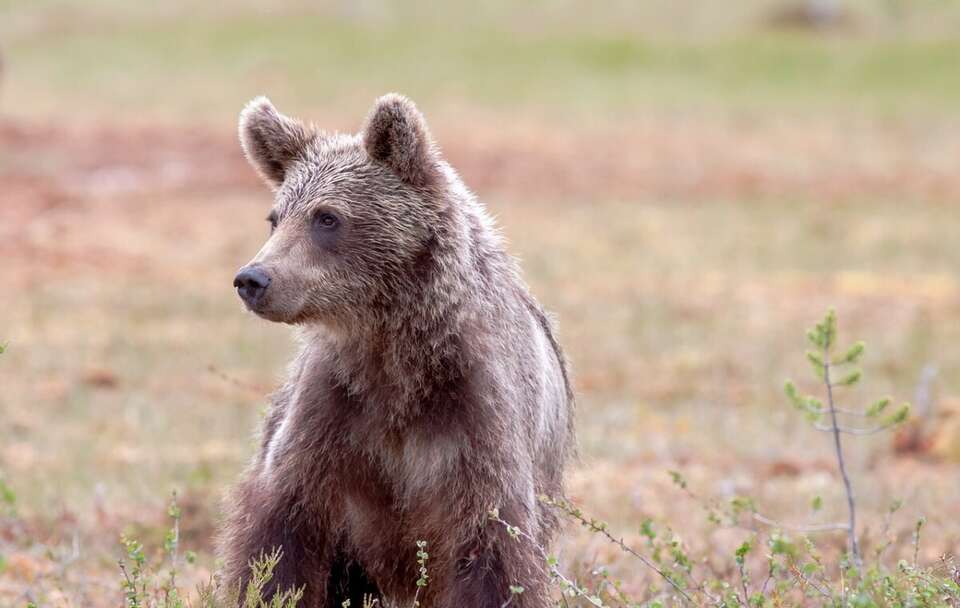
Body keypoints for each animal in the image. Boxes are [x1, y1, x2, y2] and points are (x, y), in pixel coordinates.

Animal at [221, 91, 572, 608]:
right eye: (275, 217)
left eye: (327, 217)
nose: (253, 279)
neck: (396, 353)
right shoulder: (332, 415)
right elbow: (281, 537)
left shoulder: (477, 418)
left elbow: (493, 551)